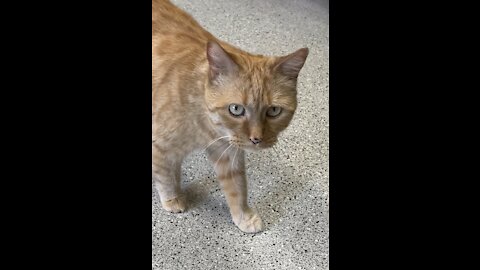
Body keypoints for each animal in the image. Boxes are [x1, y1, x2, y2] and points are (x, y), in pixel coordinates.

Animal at [153, 0, 308, 232]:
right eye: (236, 109)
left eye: (273, 111)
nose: (256, 139)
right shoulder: (161, 147)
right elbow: (166, 176)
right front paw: (172, 198)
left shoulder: (228, 151)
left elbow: (237, 187)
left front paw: (243, 217)